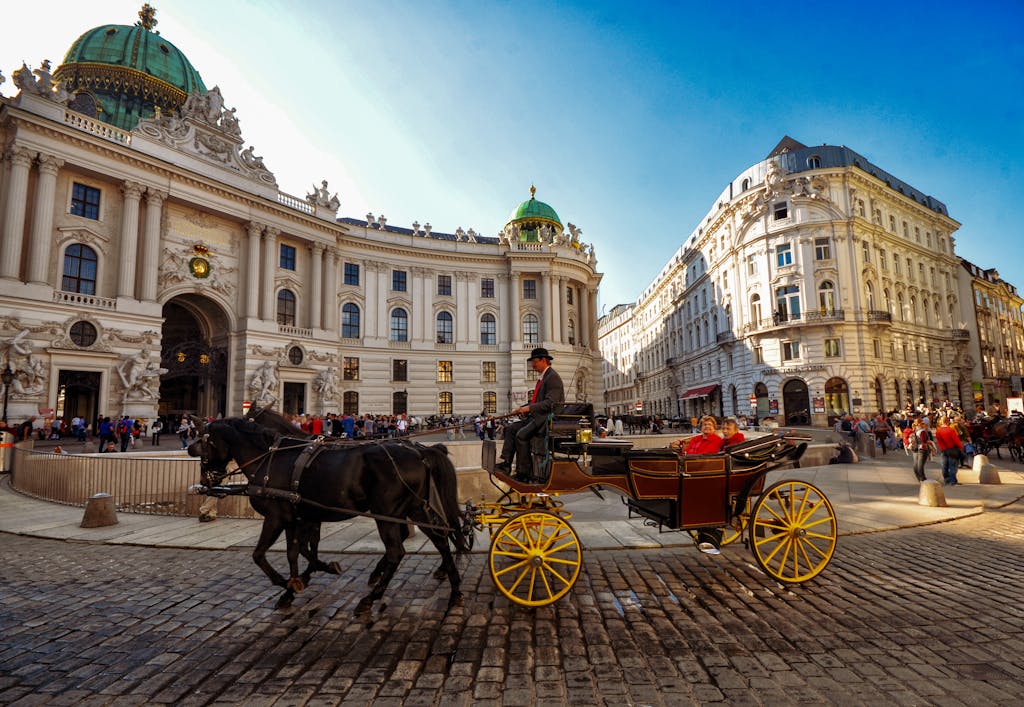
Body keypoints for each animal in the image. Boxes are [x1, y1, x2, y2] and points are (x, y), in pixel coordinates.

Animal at [189, 413, 468, 610]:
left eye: (203, 445)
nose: (205, 481)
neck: (272, 458)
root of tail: (421, 452)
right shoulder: (299, 516)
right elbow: (297, 551)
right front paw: (297, 583)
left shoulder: (277, 516)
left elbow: (261, 555)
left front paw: (289, 583)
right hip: (415, 507)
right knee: (439, 539)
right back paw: (453, 588)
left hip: (389, 511)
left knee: (397, 550)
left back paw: (371, 598)